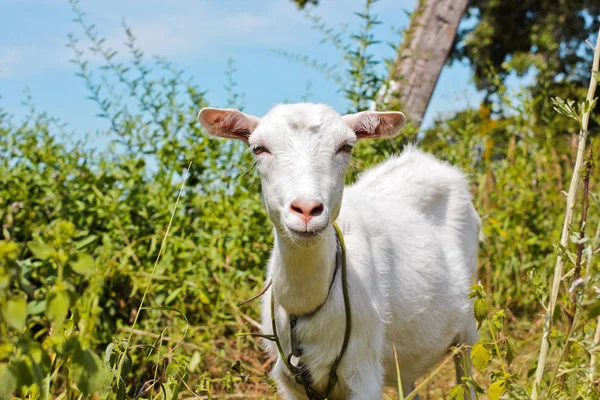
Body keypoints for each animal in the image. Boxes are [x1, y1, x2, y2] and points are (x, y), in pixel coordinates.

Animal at [199, 104, 480, 400]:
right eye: (259, 148)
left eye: (346, 146)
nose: (307, 209)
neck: (306, 304)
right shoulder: (290, 383)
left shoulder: (364, 374)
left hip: (469, 325)